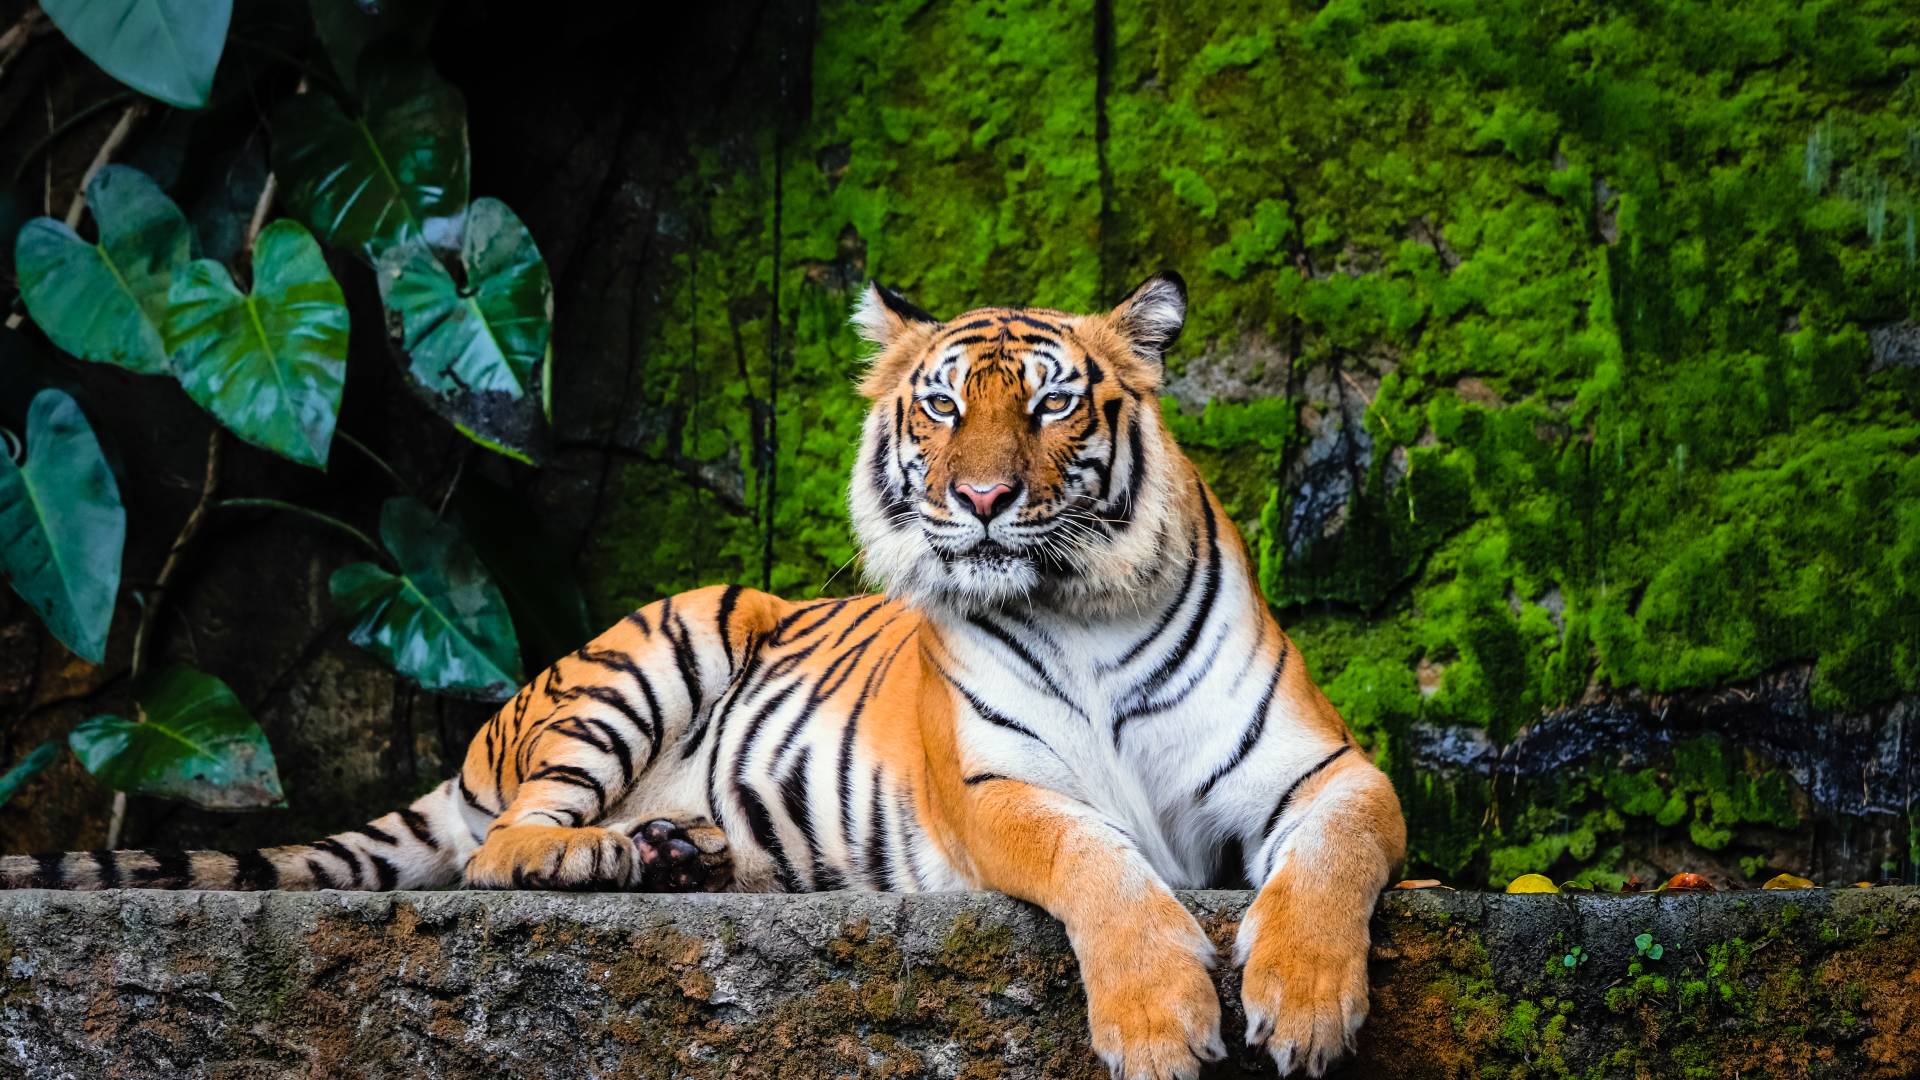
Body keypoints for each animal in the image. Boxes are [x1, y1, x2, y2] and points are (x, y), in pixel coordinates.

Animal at [3, 272, 1406, 1079]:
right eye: (944, 407)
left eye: (1056, 406)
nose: (984, 501)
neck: (1080, 602)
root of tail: (485, 731)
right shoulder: (995, 791)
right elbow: (1100, 865)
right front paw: (1164, 1026)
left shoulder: (1328, 770)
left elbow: (1334, 858)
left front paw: (1304, 1005)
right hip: (663, 642)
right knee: (499, 849)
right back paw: (612, 853)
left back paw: (684, 850)